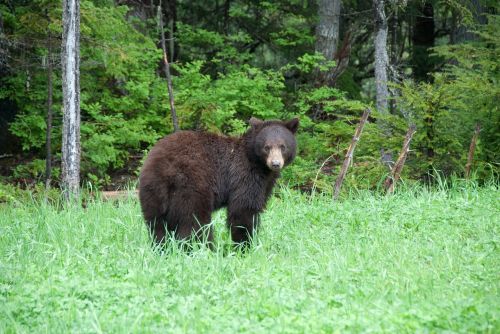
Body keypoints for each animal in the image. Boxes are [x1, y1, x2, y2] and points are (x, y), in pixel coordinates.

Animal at [138, 118, 296, 248]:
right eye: (267, 147)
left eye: (282, 146)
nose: (275, 164)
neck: (258, 164)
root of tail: (163, 168)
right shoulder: (244, 175)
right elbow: (243, 211)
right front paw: (245, 246)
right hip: (191, 186)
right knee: (195, 223)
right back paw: (203, 249)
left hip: (151, 192)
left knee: (156, 225)